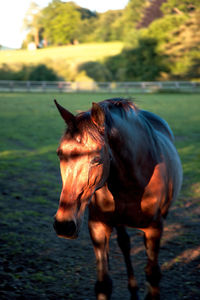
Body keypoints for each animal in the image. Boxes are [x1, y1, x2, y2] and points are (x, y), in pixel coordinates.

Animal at [53, 98, 183, 300]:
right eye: (60, 154)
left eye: (96, 159)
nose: (64, 225)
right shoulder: (97, 227)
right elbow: (103, 284)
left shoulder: (154, 229)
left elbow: (153, 276)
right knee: (125, 245)